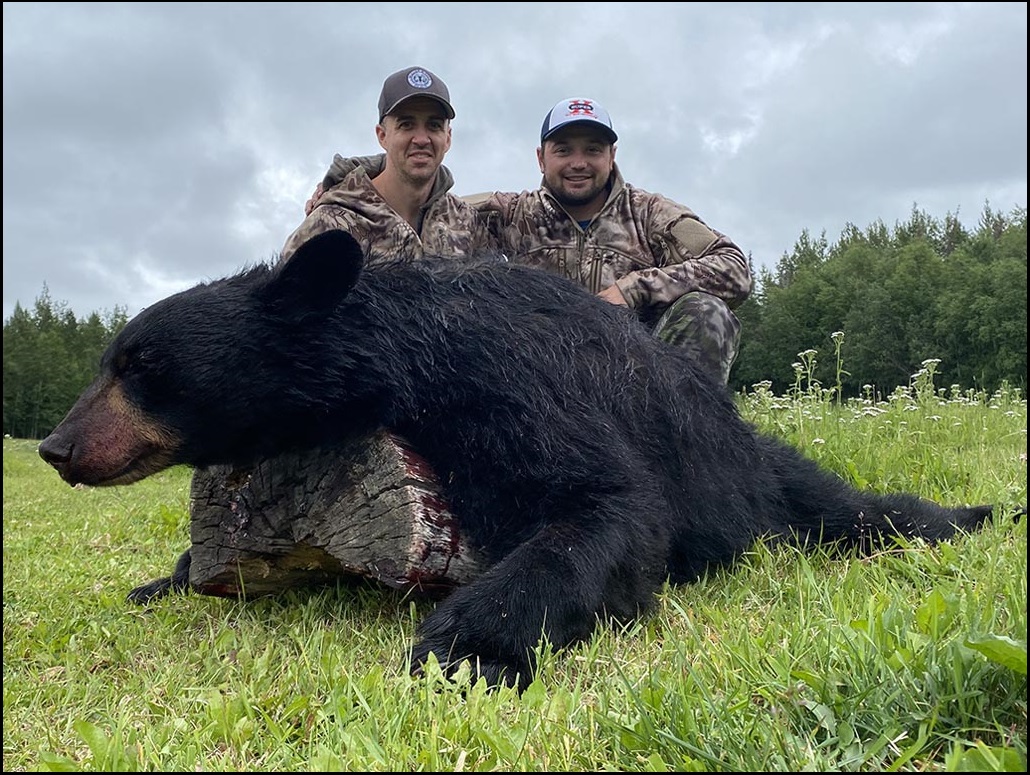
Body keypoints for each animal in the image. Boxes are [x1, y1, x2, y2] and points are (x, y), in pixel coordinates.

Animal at [40, 229, 997, 688]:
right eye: (108, 360)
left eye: (143, 366)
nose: (55, 445)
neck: (408, 354)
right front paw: (163, 576)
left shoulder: (509, 381)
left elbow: (606, 506)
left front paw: (465, 648)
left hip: (756, 472)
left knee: (863, 509)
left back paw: (978, 511)